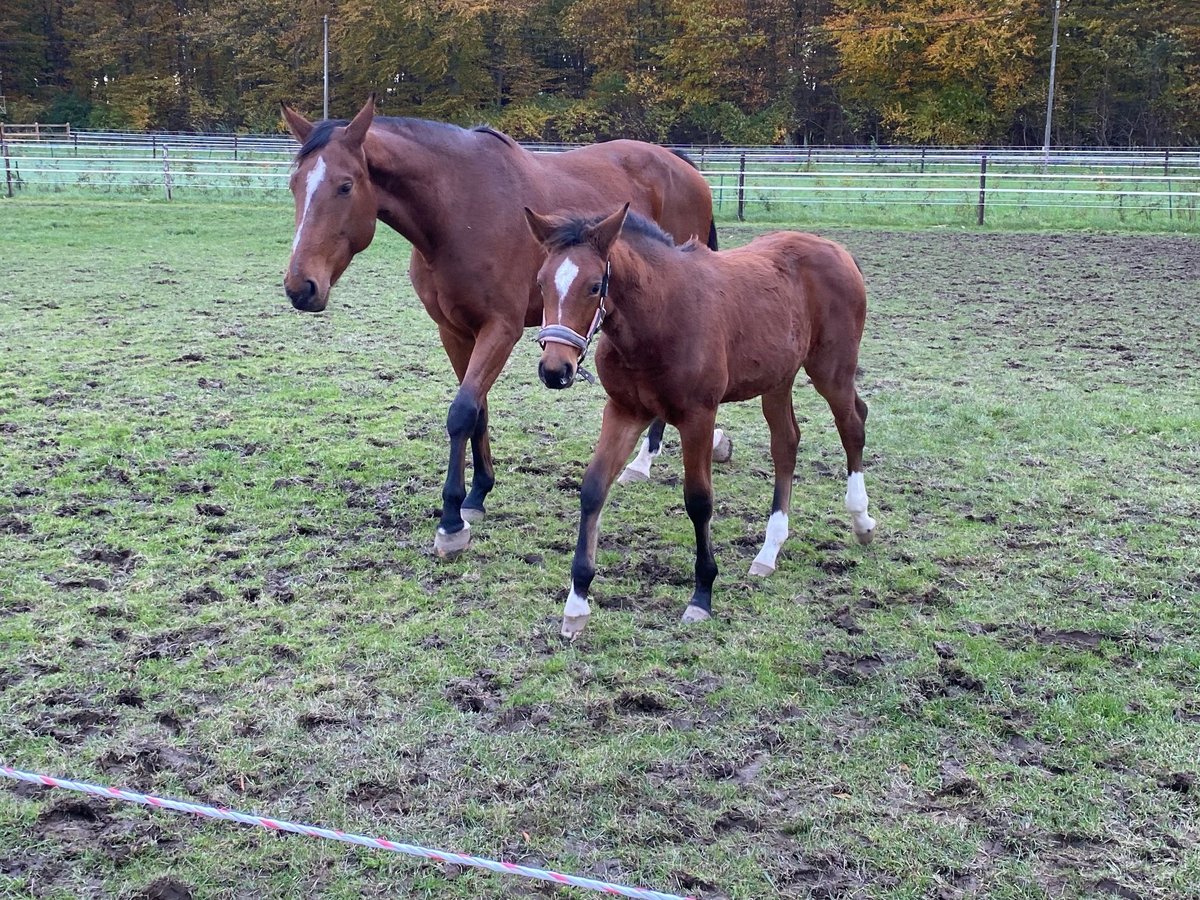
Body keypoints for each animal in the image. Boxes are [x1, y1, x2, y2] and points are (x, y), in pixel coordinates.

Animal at [282, 97, 715, 556]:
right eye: (294, 185)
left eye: (345, 186)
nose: (300, 286)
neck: (457, 211)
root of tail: (680, 164)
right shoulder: (455, 331)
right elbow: (478, 410)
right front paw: (477, 494)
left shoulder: (500, 329)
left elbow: (461, 412)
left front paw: (451, 520)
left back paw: (646, 459)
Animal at [523, 206, 873, 643]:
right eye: (540, 282)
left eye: (593, 286)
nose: (556, 370)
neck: (658, 317)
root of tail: (838, 251)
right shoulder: (623, 411)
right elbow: (593, 490)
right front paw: (576, 604)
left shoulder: (698, 417)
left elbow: (699, 501)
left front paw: (702, 595)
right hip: (779, 378)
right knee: (786, 443)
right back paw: (768, 551)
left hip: (832, 370)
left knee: (852, 425)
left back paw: (861, 520)